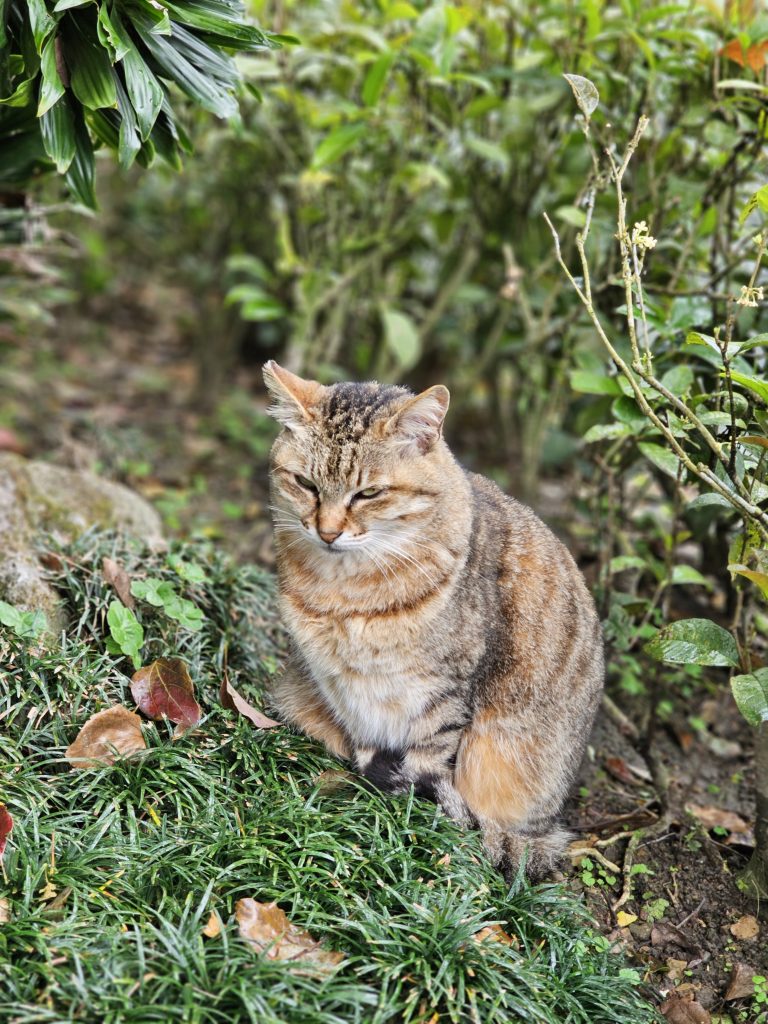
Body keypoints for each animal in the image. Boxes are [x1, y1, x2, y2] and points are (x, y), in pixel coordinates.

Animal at [264, 360, 606, 880]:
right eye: (306, 484)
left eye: (368, 493)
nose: (327, 532)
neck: (345, 590)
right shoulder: (340, 686)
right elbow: (365, 739)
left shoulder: (443, 696)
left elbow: (427, 760)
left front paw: (412, 824)